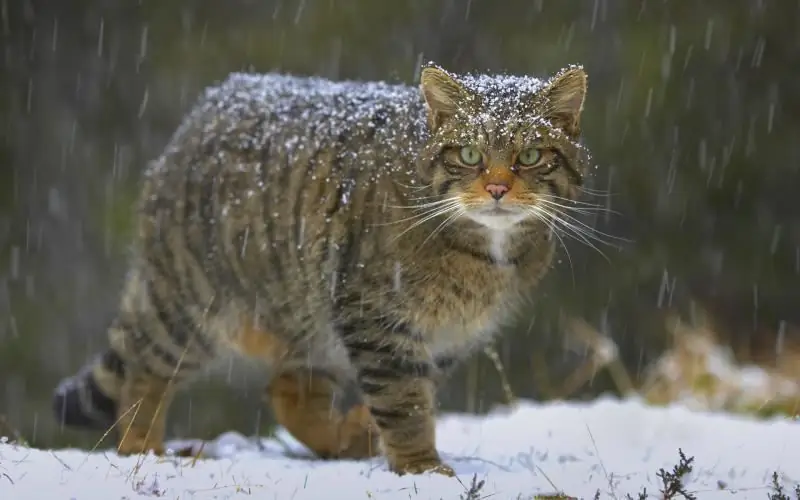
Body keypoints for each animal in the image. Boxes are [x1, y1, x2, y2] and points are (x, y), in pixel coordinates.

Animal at [50, 63, 588, 476]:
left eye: (530, 155)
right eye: (470, 154)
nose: (497, 188)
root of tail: (207, 106)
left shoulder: (448, 336)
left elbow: (414, 393)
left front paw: (379, 436)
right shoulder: (377, 313)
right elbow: (404, 401)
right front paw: (420, 467)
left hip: (311, 316)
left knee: (289, 391)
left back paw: (346, 436)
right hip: (190, 303)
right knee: (143, 375)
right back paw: (144, 447)